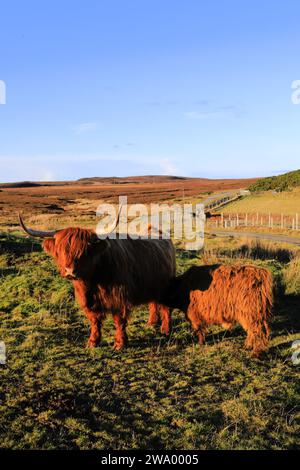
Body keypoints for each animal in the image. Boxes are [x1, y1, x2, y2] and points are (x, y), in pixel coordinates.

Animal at [18, 213, 176, 348]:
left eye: (84, 251)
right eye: (61, 250)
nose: (69, 271)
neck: (92, 281)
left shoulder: (119, 298)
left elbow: (119, 320)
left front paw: (120, 343)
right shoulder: (87, 300)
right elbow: (94, 320)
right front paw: (93, 342)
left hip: (166, 285)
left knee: (166, 307)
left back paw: (165, 329)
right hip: (152, 284)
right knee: (153, 303)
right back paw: (152, 323)